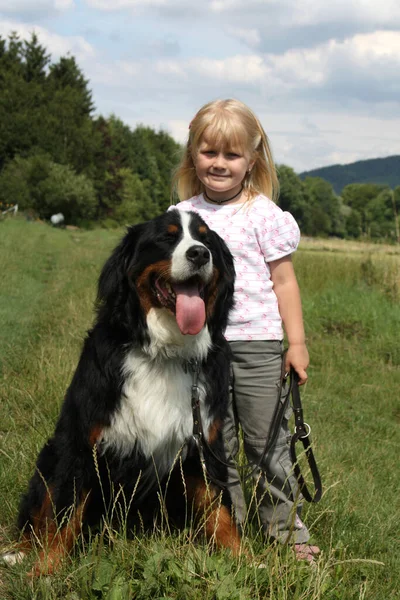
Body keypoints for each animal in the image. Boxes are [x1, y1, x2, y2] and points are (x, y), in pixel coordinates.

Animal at [6, 209, 242, 576]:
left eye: (206, 240)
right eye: (166, 238)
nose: (199, 254)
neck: (164, 353)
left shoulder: (205, 443)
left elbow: (221, 509)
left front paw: (248, 561)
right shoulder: (81, 444)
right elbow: (63, 513)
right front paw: (45, 570)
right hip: (50, 455)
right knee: (38, 514)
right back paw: (19, 552)